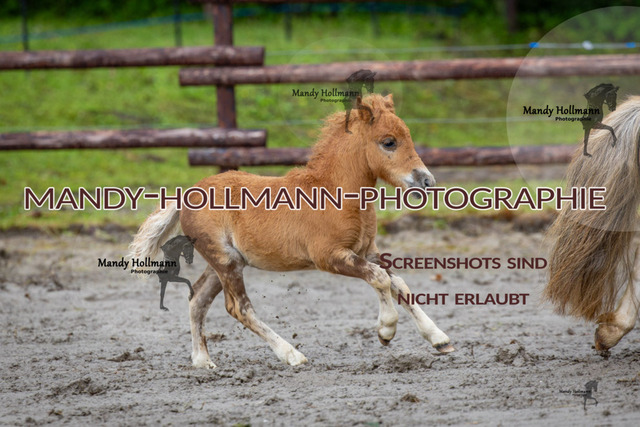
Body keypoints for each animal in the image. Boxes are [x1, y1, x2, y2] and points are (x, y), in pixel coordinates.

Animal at [129, 93, 454, 368]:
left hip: (223, 263)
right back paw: (292, 355)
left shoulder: (367, 251)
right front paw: (386, 330)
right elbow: (380, 279)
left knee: (197, 299)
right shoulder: (330, 256)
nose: (427, 181)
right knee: (239, 308)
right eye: (388, 142)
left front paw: (439, 339)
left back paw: (202, 361)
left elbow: (398, 282)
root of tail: (186, 195)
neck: (334, 193)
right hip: (226, 261)